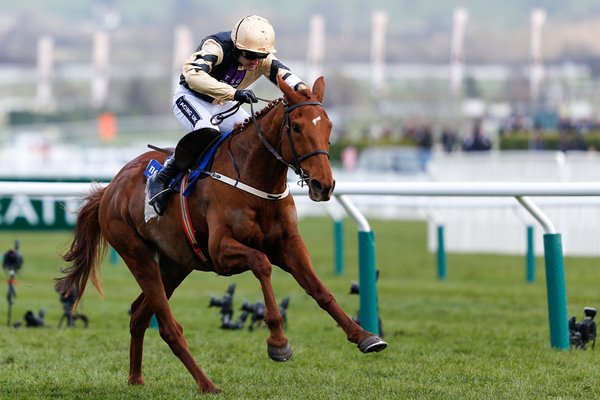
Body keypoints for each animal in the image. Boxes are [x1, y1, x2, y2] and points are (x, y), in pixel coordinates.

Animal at [55, 77, 384, 394]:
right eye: (296, 126)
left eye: (328, 125)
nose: (323, 185)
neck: (256, 178)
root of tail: (110, 188)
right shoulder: (221, 252)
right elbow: (261, 263)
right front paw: (278, 342)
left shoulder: (289, 244)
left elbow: (319, 290)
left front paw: (366, 336)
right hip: (137, 255)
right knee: (168, 327)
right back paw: (207, 384)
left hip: (176, 264)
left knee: (139, 315)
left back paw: (136, 378)